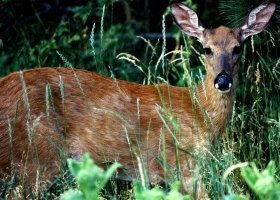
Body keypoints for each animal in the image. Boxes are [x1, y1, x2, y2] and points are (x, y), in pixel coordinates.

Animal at [0, 0, 276, 199]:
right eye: (206, 49)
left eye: (237, 48)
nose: (223, 80)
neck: (199, 111)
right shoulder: (181, 164)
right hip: (35, 159)